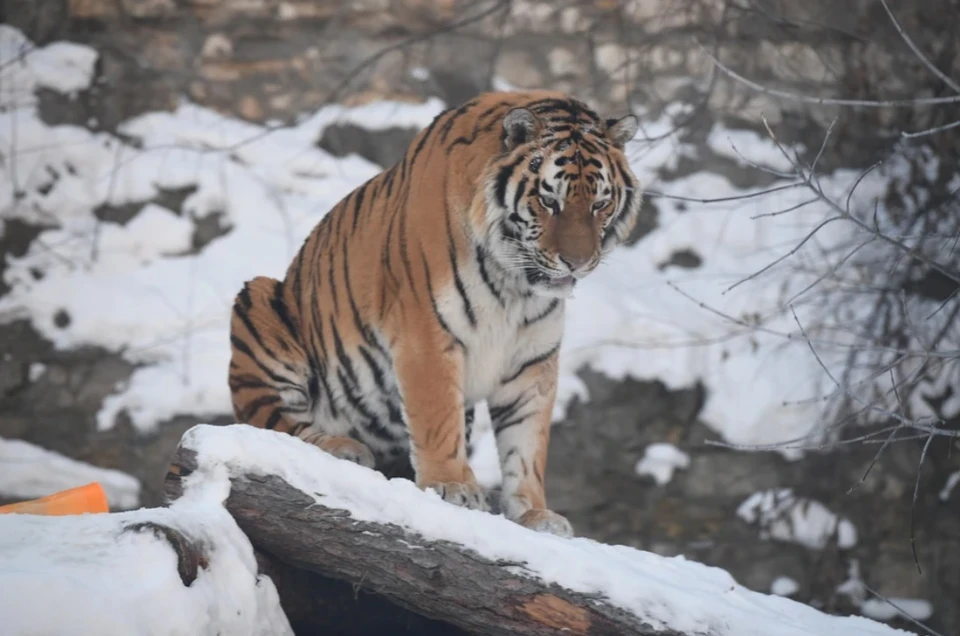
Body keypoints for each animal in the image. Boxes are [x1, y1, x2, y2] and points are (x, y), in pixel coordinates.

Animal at [229, 90, 640, 536]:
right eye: (550, 201)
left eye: (600, 204)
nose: (577, 263)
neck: (515, 285)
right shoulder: (426, 333)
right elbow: (438, 418)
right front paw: (453, 485)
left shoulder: (533, 359)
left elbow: (527, 444)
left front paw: (535, 514)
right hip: (259, 300)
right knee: (274, 425)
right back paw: (342, 446)